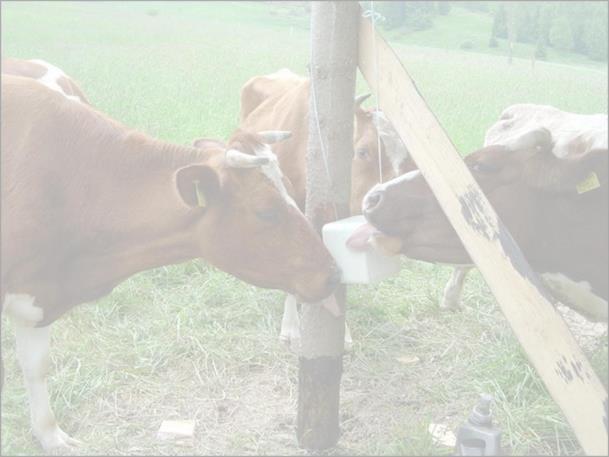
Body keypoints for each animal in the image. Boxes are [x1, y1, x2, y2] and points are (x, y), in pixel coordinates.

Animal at [0, 75, 338, 448]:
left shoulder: (38, 294)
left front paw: (50, 435)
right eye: (266, 211)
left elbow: (35, 365)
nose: (332, 273)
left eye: (291, 190)